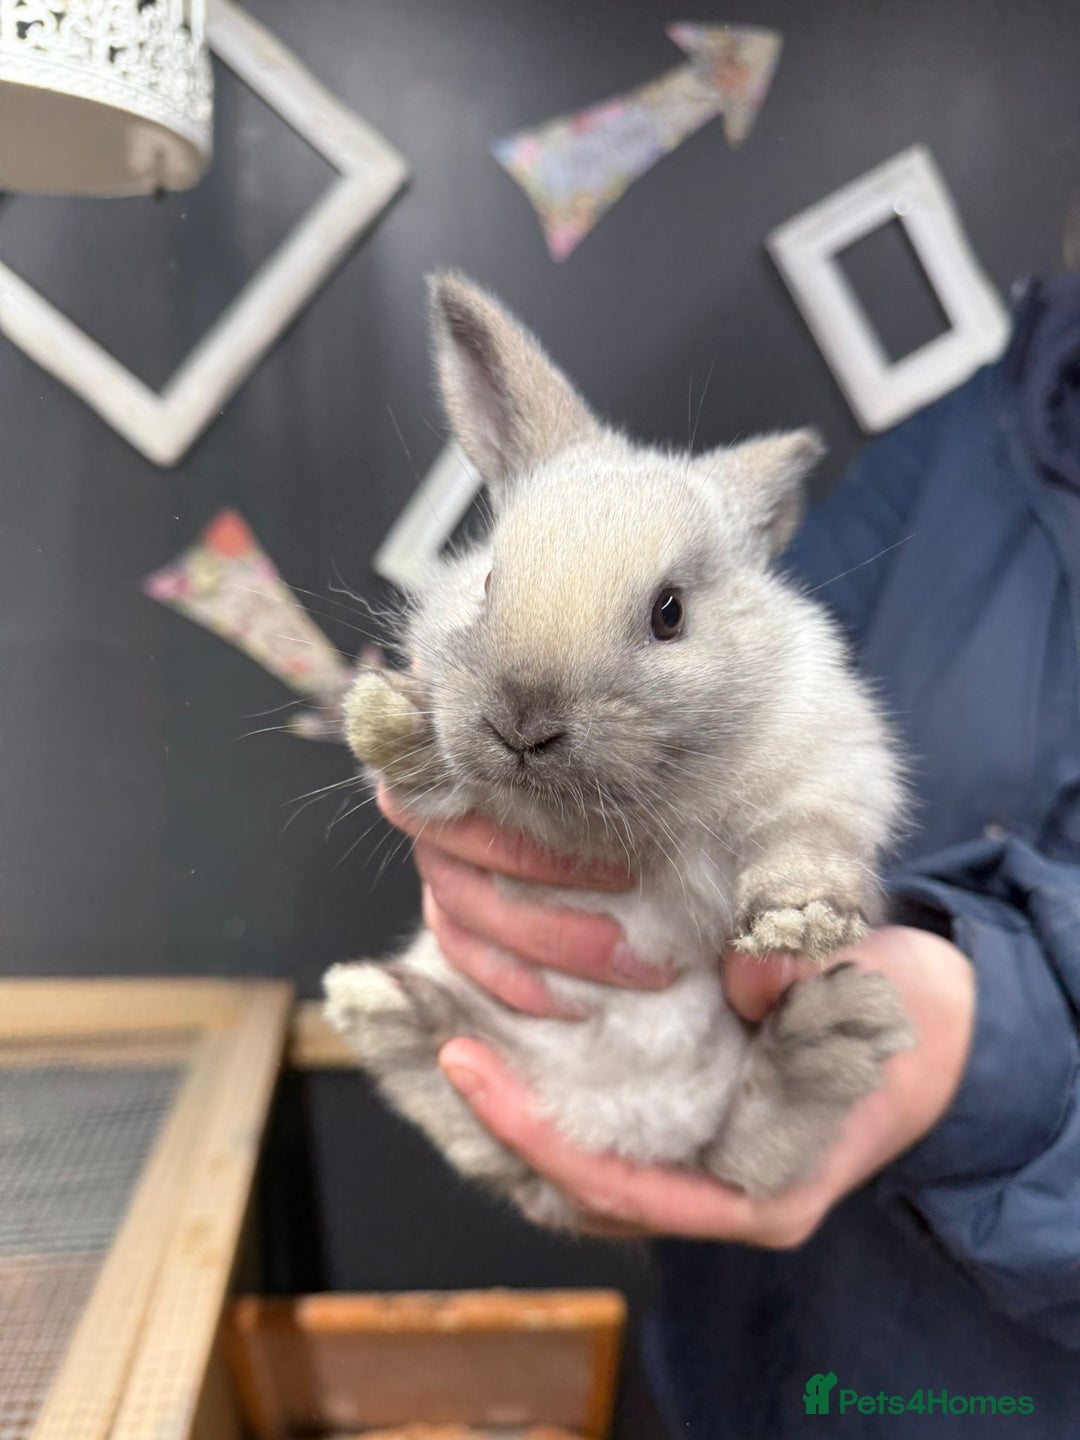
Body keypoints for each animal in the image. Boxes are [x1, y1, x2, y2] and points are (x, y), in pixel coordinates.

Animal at [324, 273, 915, 1231]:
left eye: (669, 612)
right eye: (489, 578)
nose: (522, 725)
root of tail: (616, 1131)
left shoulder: (827, 765)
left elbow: (806, 836)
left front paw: (801, 921)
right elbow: (426, 774)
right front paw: (390, 716)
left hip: (726, 1131)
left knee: (745, 1157)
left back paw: (833, 1032)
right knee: (476, 1124)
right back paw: (384, 1009)